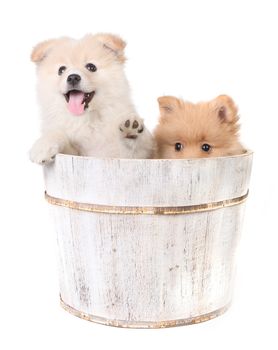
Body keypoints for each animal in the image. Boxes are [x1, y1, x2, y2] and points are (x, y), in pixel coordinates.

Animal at [29, 33, 154, 163]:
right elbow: (56, 134)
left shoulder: (122, 155)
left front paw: (130, 132)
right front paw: (43, 146)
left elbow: (130, 150)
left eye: (91, 67)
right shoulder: (75, 152)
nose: (73, 77)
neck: (85, 119)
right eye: (61, 70)